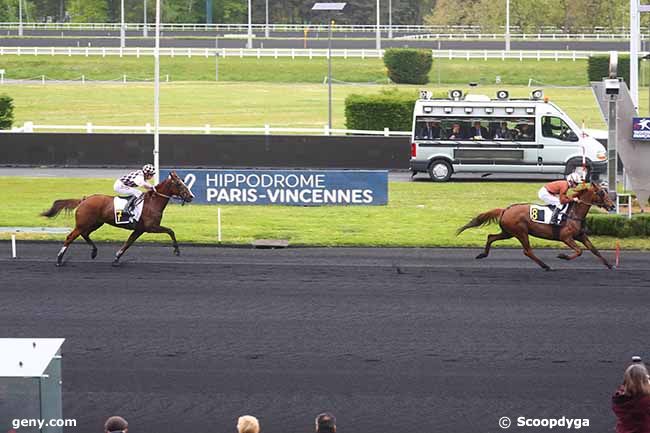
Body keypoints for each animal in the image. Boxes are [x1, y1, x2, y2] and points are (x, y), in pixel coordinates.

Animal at [40, 170, 191, 264]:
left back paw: (94, 252)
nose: (191, 196)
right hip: (83, 223)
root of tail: (84, 199)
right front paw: (177, 251)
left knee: (85, 234)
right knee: (70, 237)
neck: (153, 202)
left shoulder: (139, 229)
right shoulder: (151, 227)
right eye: (179, 184)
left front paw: (117, 258)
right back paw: (59, 259)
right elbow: (170, 231)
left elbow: (128, 243)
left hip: (95, 223)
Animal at [456, 181, 612, 270]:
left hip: (508, 232)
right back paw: (545, 266)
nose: (611, 205)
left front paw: (610, 265)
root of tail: (505, 210)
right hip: (520, 232)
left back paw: (482, 254)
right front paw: (563, 256)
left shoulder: (580, 235)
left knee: (491, 237)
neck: (573, 213)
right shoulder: (566, 237)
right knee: (527, 251)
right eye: (601, 192)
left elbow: (594, 250)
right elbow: (579, 251)